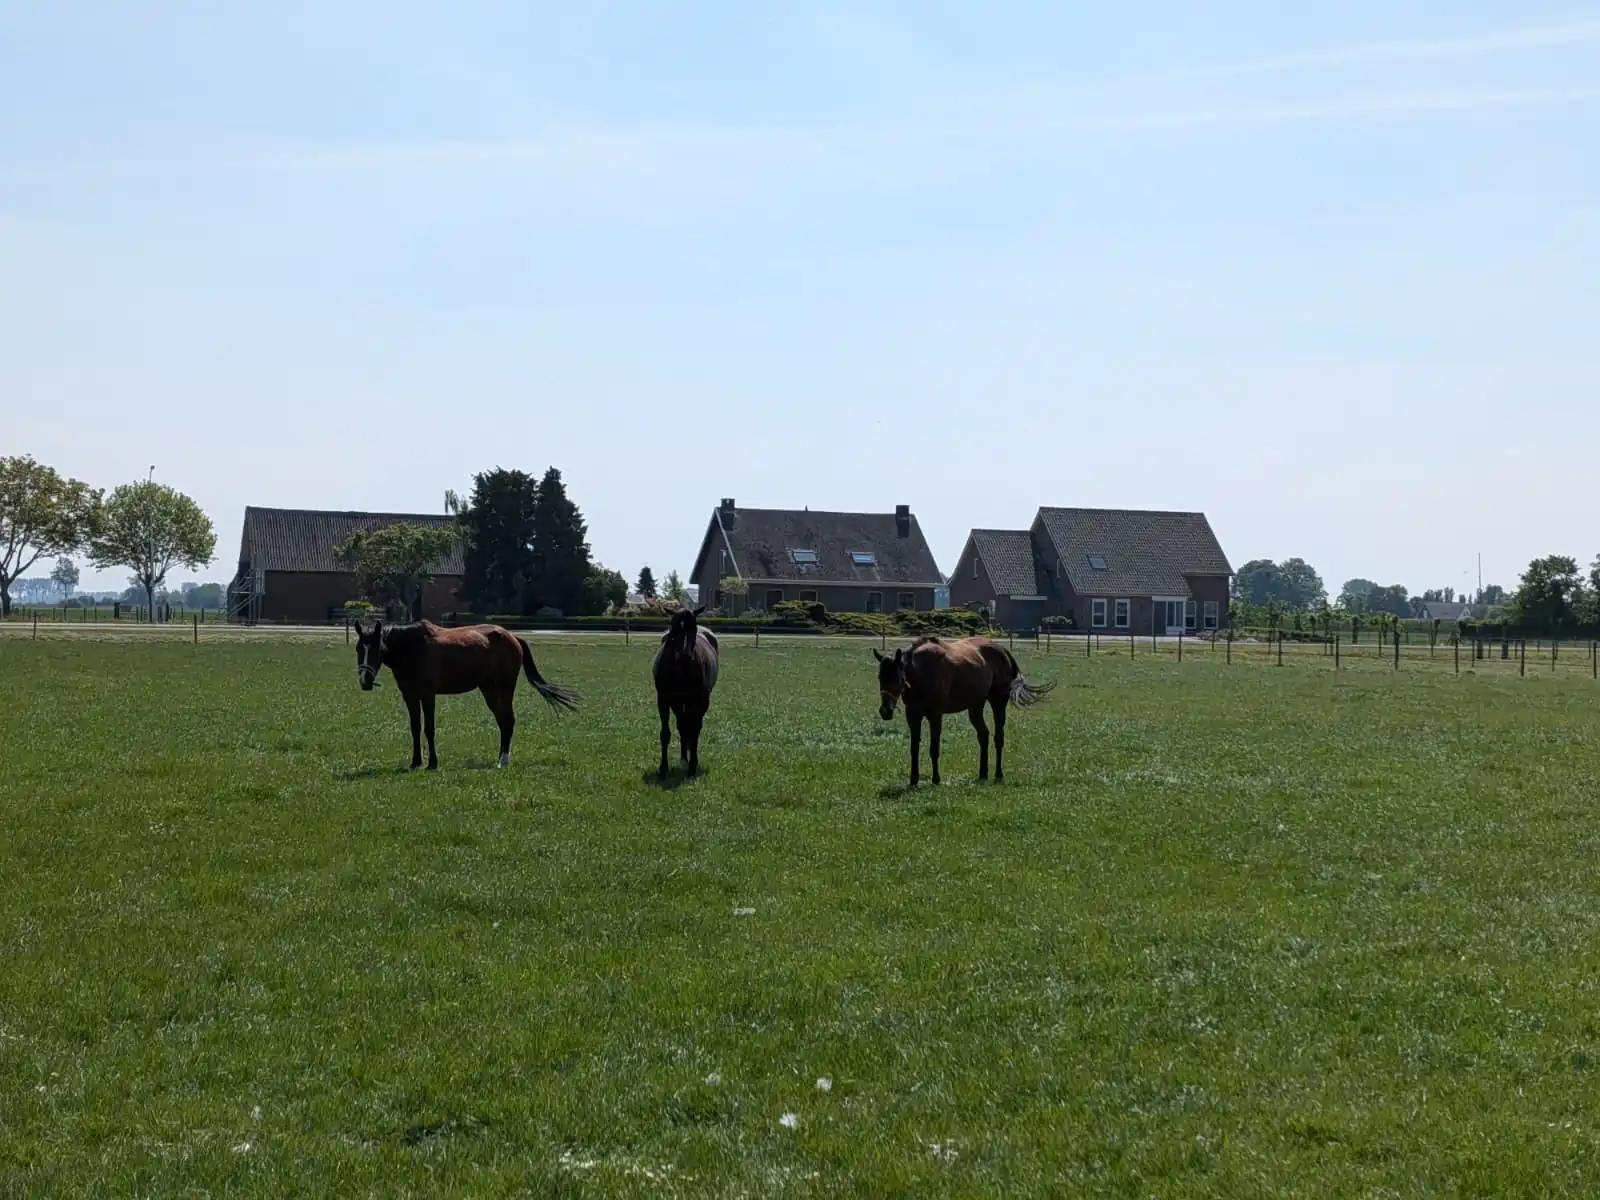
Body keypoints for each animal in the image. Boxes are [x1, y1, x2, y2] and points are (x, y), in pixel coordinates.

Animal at [353, 619, 578, 771]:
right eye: (358, 648)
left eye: (375, 648)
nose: (365, 681)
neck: (413, 648)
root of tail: (512, 636)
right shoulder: (409, 696)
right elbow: (415, 728)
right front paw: (416, 762)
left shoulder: (428, 695)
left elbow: (429, 729)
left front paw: (432, 763)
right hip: (489, 689)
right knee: (503, 722)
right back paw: (499, 758)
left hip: (505, 688)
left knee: (509, 720)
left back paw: (503, 761)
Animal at [652, 605, 719, 778]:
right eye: (673, 629)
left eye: (693, 628)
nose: (684, 657)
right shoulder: (663, 700)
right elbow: (666, 734)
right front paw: (663, 768)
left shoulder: (700, 701)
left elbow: (694, 731)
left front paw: (693, 767)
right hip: (679, 703)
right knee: (682, 725)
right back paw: (683, 759)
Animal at [872, 635, 1054, 787]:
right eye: (880, 677)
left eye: (897, 677)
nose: (885, 711)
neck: (923, 672)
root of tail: (1002, 650)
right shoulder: (913, 715)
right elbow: (914, 748)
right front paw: (913, 780)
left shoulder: (935, 715)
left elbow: (934, 747)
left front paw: (936, 779)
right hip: (976, 706)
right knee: (983, 735)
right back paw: (983, 774)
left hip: (998, 702)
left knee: (998, 737)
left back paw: (998, 775)